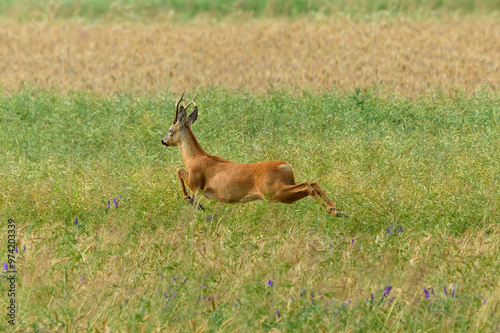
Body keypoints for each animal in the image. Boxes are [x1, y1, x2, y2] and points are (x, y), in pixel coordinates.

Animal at [162, 91, 346, 215]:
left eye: (170, 130)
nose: (163, 141)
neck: (194, 157)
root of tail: (286, 165)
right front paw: (195, 203)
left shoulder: (196, 182)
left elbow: (179, 170)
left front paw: (192, 201)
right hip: (283, 193)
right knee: (313, 183)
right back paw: (338, 210)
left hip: (273, 191)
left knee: (307, 184)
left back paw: (332, 210)